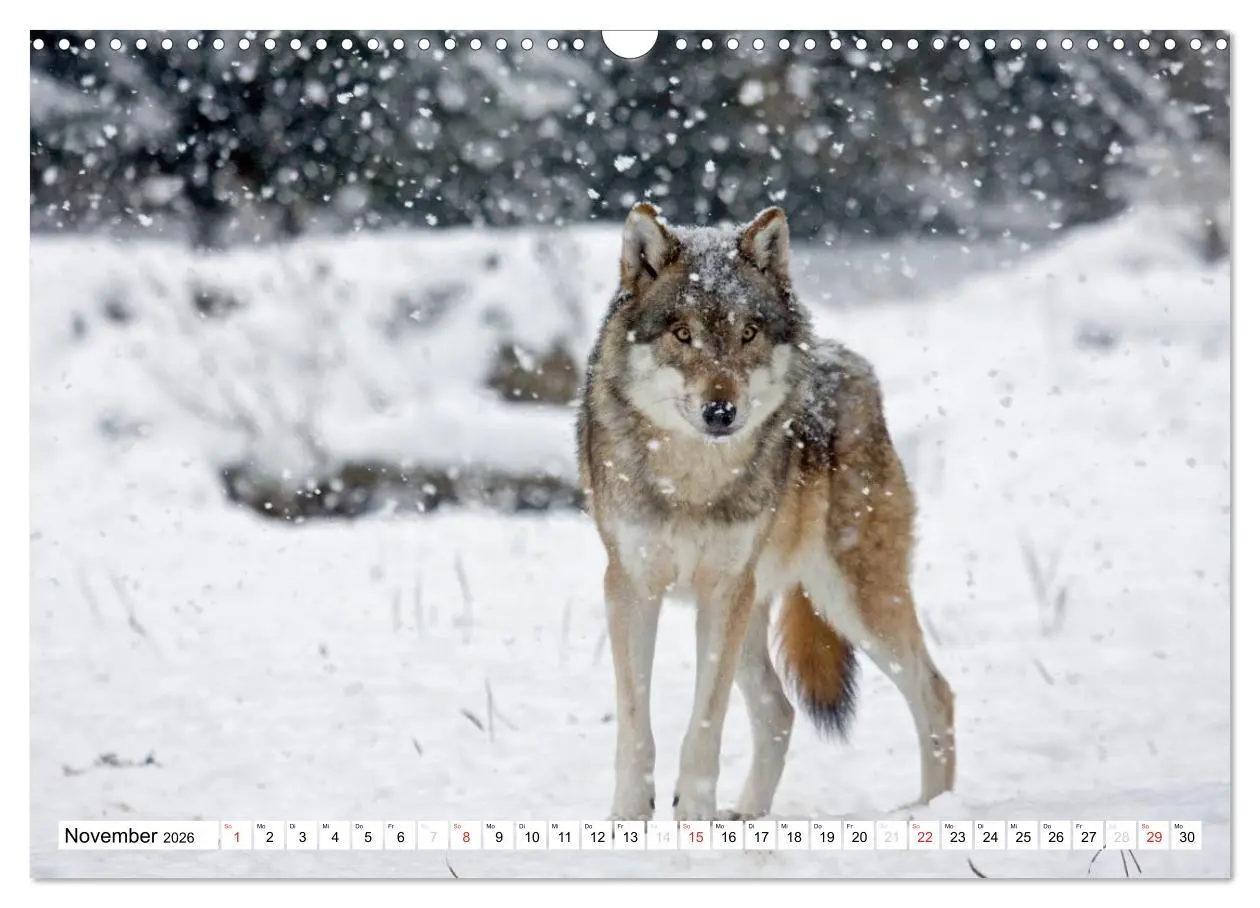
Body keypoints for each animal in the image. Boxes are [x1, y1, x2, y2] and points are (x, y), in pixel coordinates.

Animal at [576, 203, 956, 821]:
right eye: (683, 334)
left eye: (748, 332)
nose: (721, 411)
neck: (692, 484)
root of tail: (852, 363)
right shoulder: (630, 587)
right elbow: (636, 727)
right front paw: (629, 818)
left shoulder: (722, 594)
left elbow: (704, 727)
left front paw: (695, 819)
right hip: (764, 607)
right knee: (780, 709)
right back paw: (748, 815)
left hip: (852, 598)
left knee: (935, 692)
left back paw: (934, 811)